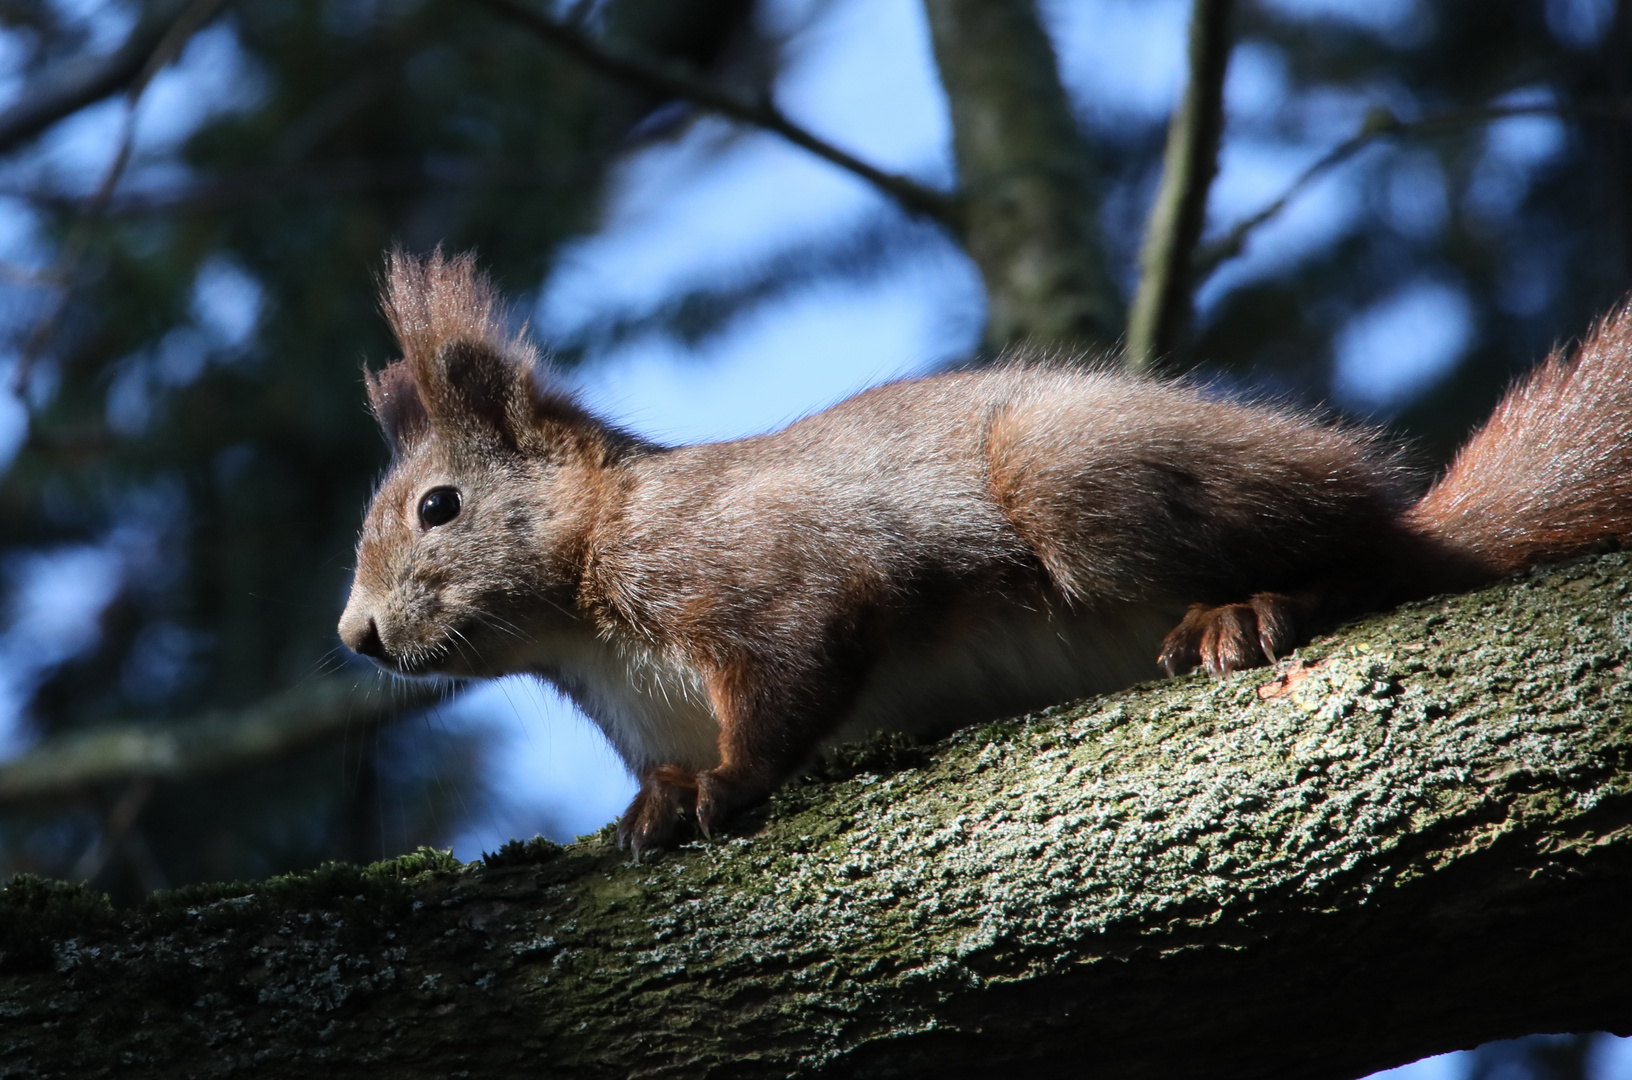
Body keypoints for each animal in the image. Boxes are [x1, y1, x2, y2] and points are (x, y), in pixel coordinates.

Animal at [334, 251, 1632, 854]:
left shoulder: (757, 567)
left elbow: (797, 666)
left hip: (1078, 481)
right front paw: (656, 802)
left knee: (1368, 562)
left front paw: (722, 785)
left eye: (439, 507)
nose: (358, 635)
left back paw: (1252, 611)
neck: (585, 627)